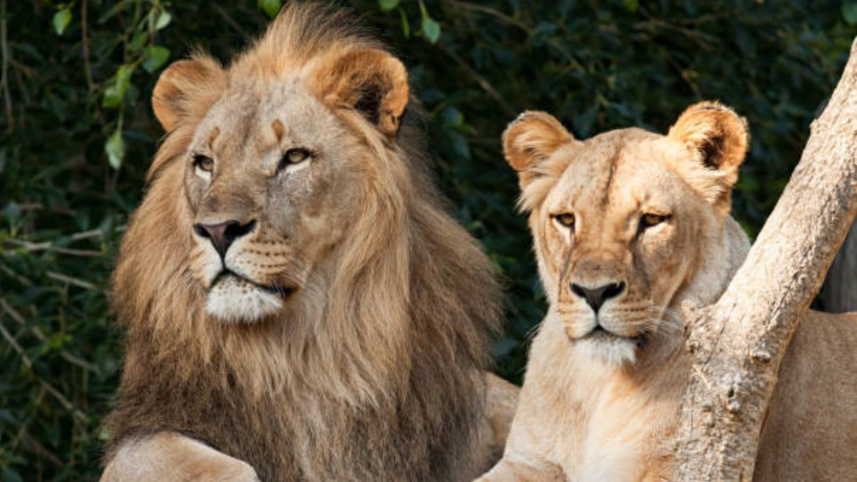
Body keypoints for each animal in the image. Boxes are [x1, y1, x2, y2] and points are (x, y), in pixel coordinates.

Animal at [99, 4, 518, 482]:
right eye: (205, 163)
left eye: (294, 157)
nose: (217, 230)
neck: (302, 353)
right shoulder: (145, 432)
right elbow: (222, 467)